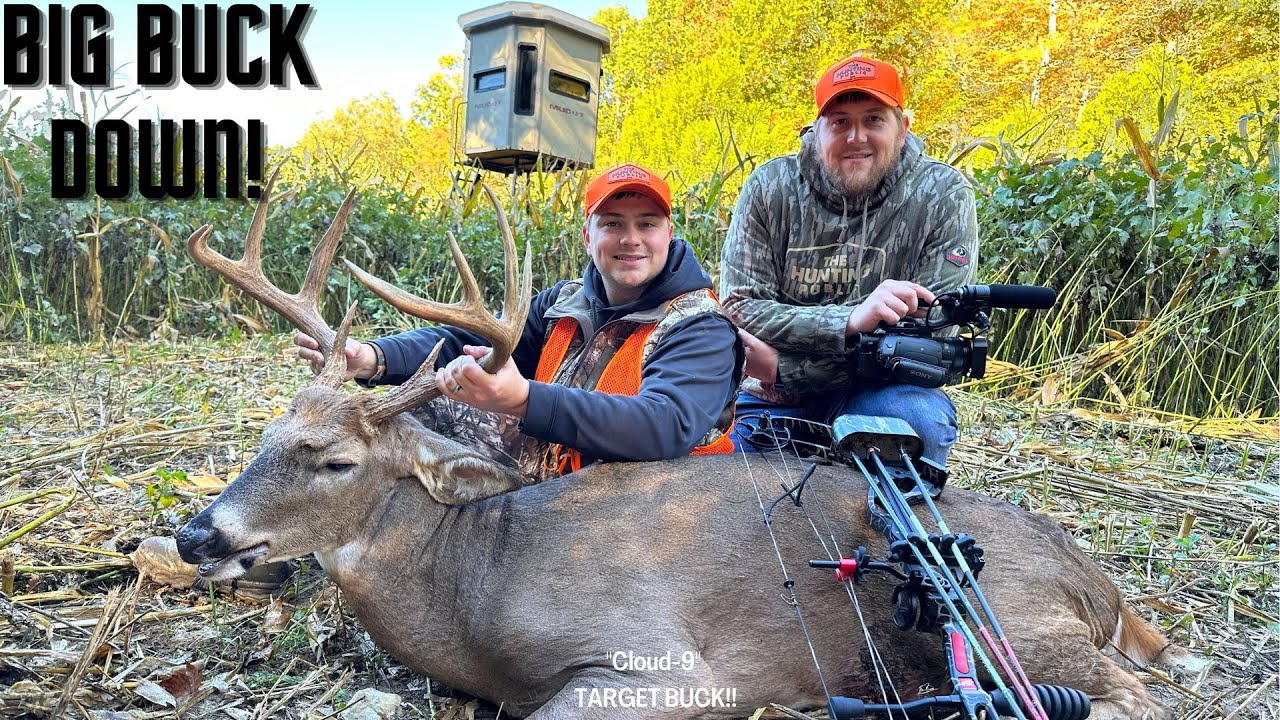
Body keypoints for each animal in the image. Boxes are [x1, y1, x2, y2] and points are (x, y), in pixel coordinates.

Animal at [175, 176, 1185, 720]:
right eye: (267, 435)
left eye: (336, 461)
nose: (197, 534)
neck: (471, 580)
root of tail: (1099, 583)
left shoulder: (660, 661)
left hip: (1010, 618)